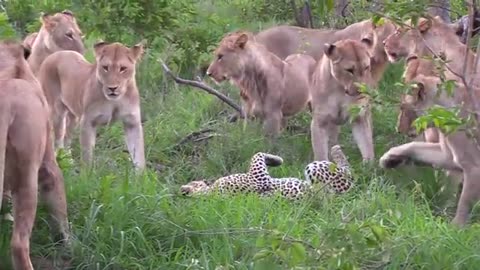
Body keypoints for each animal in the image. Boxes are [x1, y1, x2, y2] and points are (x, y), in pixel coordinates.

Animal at [38, 40, 144, 169]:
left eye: (123, 68)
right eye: (105, 67)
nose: (112, 88)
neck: (115, 101)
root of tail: (57, 53)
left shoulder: (132, 123)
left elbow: (139, 154)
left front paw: (142, 174)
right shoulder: (88, 121)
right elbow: (87, 154)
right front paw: (87, 173)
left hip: (74, 117)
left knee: (67, 137)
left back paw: (68, 161)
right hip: (57, 112)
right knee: (58, 140)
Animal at [180, 144, 352, 199]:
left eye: (193, 181)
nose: (183, 188)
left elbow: (256, 154)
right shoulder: (259, 178)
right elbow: (256, 155)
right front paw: (278, 160)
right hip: (318, 170)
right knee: (348, 170)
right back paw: (336, 150)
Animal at [310, 32, 376, 162]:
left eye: (366, 67)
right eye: (349, 70)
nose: (361, 90)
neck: (340, 90)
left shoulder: (359, 116)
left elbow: (366, 143)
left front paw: (369, 165)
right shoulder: (320, 121)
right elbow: (320, 151)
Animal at [382, 73, 480, 226]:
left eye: (403, 107)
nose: (398, 129)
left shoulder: (474, 167)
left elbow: (464, 203)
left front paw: (455, 228)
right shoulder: (449, 156)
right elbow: (415, 146)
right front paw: (389, 158)